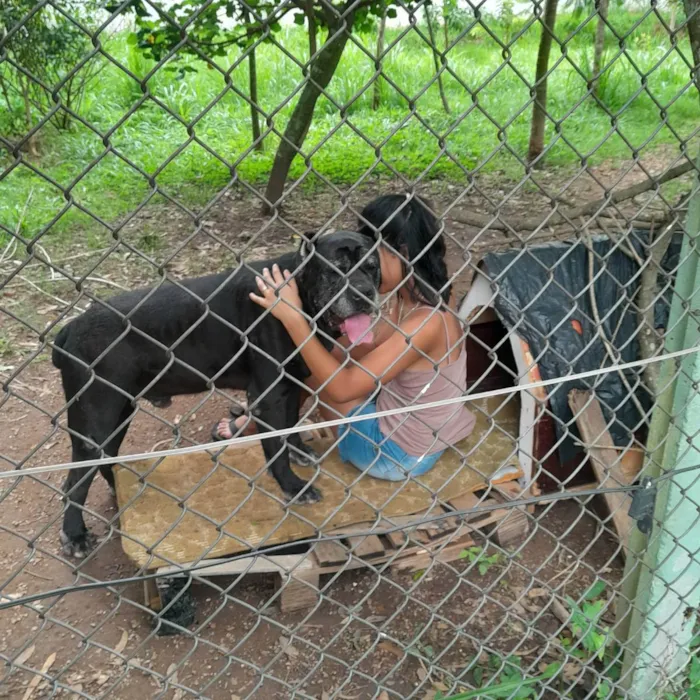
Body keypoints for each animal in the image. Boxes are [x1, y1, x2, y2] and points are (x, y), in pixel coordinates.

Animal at [52, 231, 380, 556]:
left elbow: (290, 427)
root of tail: (70, 327)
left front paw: (298, 451)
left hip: (119, 412)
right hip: (98, 420)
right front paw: (292, 486)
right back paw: (75, 534)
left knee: (105, 460)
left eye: (372, 267)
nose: (364, 294)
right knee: (75, 481)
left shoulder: (290, 386)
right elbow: (275, 446)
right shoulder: (268, 394)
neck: (297, 294)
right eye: (334, 271)